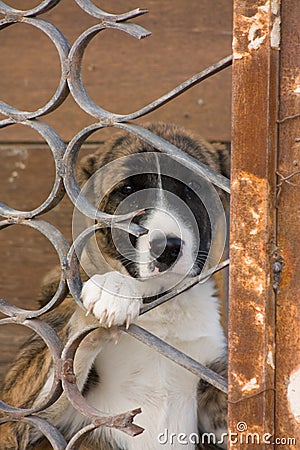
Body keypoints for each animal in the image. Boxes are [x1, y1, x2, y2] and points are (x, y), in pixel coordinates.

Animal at [0, 123, 230, 450]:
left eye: (191, 188)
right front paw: (114, 287)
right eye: (127, 190)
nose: (167, 247)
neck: (159, 302)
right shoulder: (17, 419)